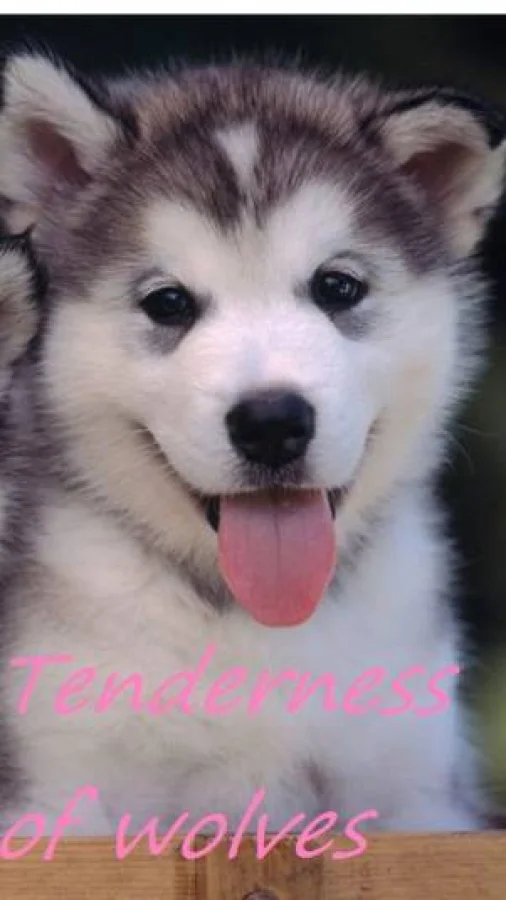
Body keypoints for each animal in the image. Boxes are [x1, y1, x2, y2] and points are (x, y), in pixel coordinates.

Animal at [0, 52, 503, 836]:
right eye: (168, 302)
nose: (271, 422)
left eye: (337, 286)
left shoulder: (418, 796)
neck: (255, 619)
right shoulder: (58, 789)